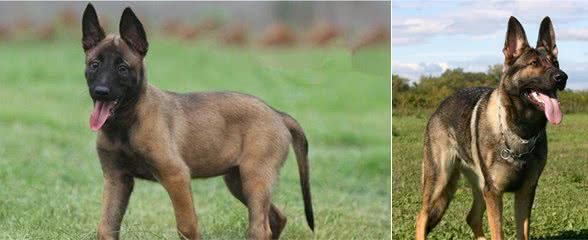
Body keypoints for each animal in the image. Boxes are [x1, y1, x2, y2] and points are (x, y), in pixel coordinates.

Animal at [81, 4, 316, 240]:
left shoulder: (176, 175)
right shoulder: (117, 179)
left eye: (122, 68)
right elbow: (106, 227)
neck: (124, 124)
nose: (101, 92)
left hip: (255, 177)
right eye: (94, 65)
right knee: (277, 217)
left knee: (260, 228)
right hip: (237, 180)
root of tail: (277, 113)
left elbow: (187, 226)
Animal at [416, 16, 568, 240]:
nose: (562, 77)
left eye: (555, 62)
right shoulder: (494, 193)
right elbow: (499, 232)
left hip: (478, 187)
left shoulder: (525, 192)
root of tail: (439, 107)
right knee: (422, 216)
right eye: (534, 63)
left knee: (471, 217)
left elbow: (522, 232)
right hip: (439, 179)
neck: (520, 132)